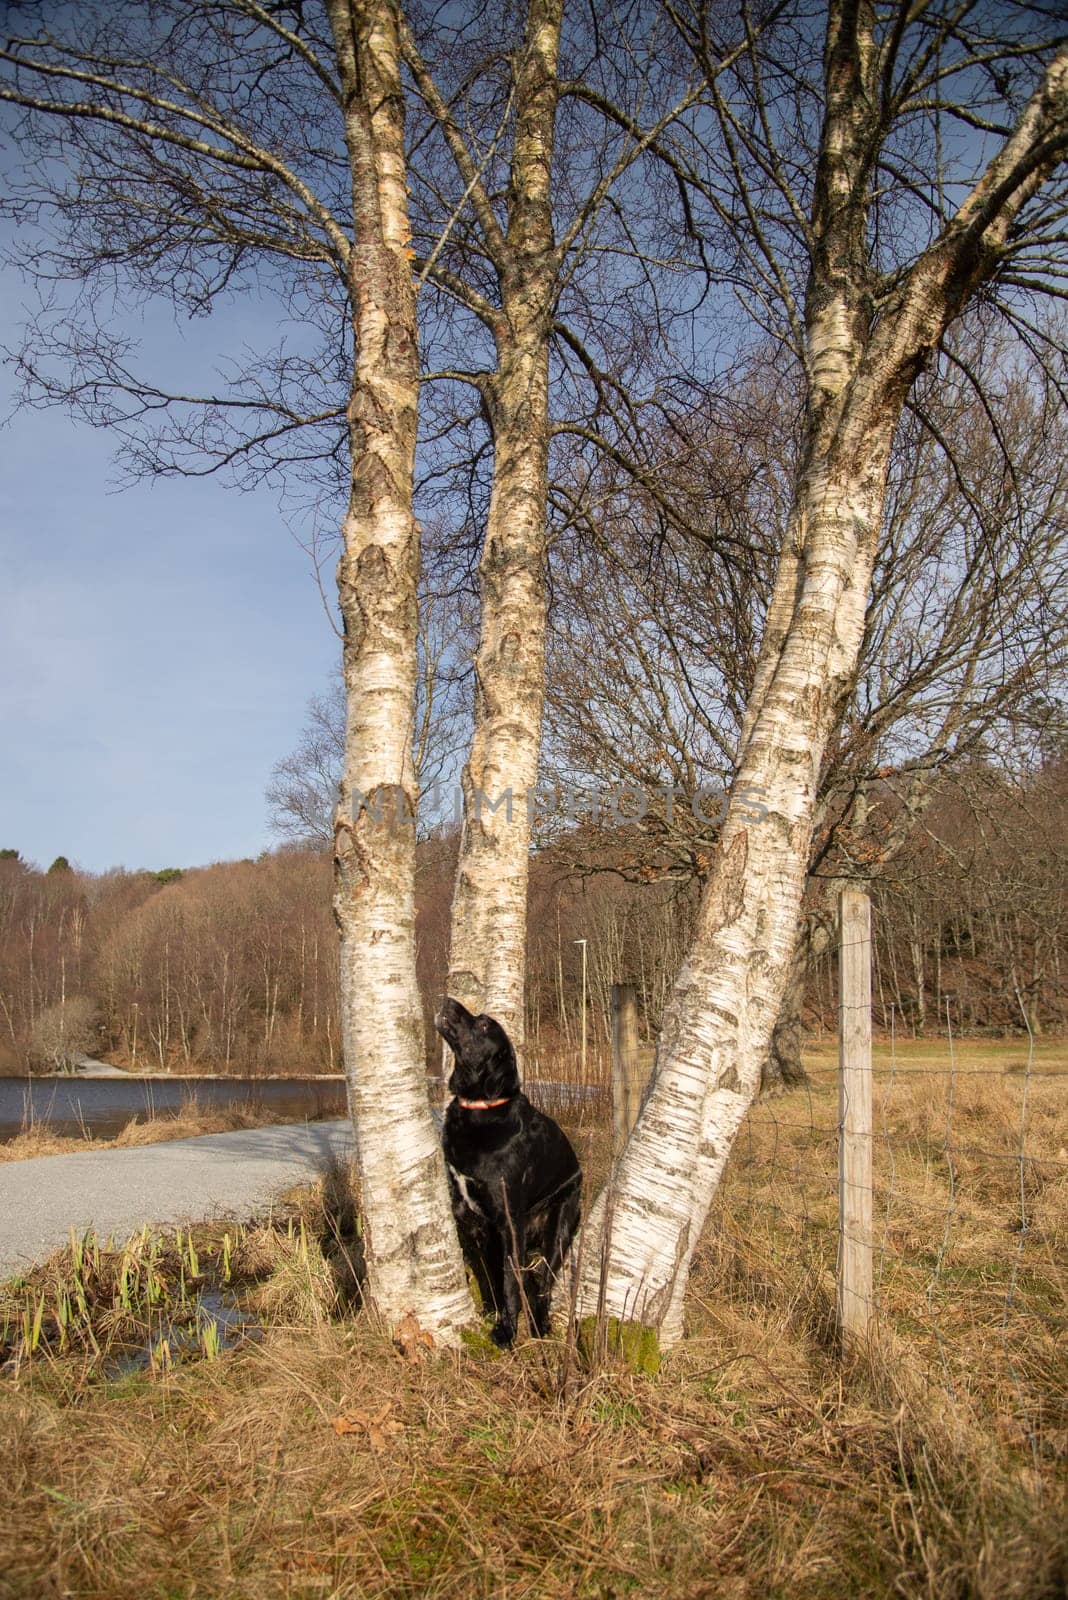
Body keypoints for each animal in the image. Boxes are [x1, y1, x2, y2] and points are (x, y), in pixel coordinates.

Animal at [434, 992, 585, 1344]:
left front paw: (506, 1331)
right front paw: (493, 1312)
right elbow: (492, 1277)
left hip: (558, 1228)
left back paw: (541, 1326)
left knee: (543, 1284)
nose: (446, 998)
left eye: (484, 1025)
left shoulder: (507, 1223)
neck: (480, 1109)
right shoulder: (473, 1218)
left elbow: (508, 1281)